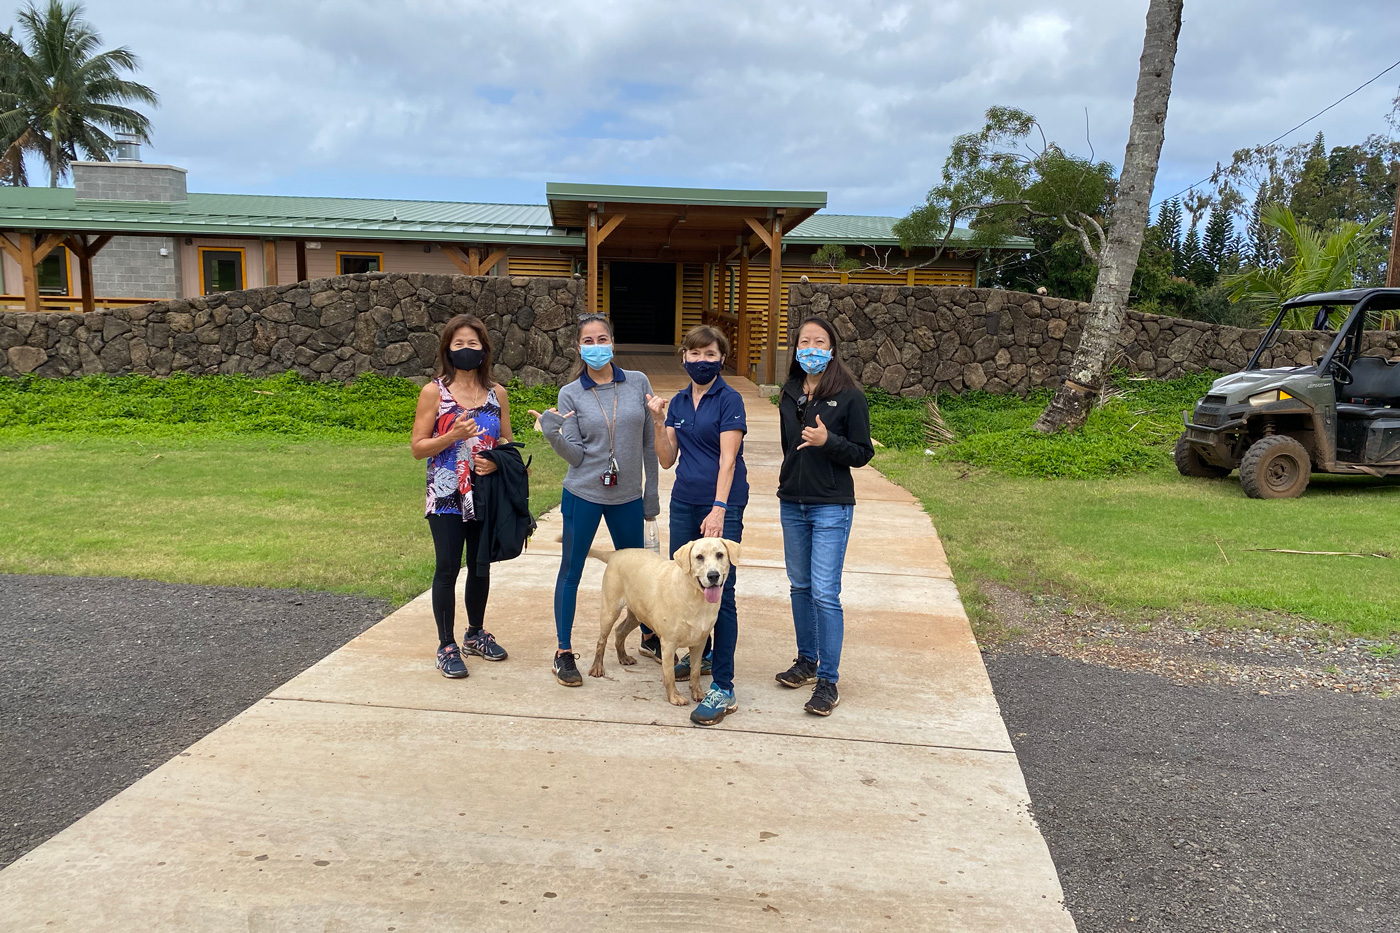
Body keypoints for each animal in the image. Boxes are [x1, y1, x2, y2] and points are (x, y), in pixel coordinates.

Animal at [588, 537, 744, 706]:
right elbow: (669, 675)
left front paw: (697, 693)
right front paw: (674, 697)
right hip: (610, 611)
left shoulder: (699, 642)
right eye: (699, 557)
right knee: (602, 640)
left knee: (619, 630)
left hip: (636, 614)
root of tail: (616, 554)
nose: (713, 575)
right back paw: (597, 667)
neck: (696, 598)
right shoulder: (668, 644)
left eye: (720, 554)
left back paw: (623, 657)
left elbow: (695, 671)